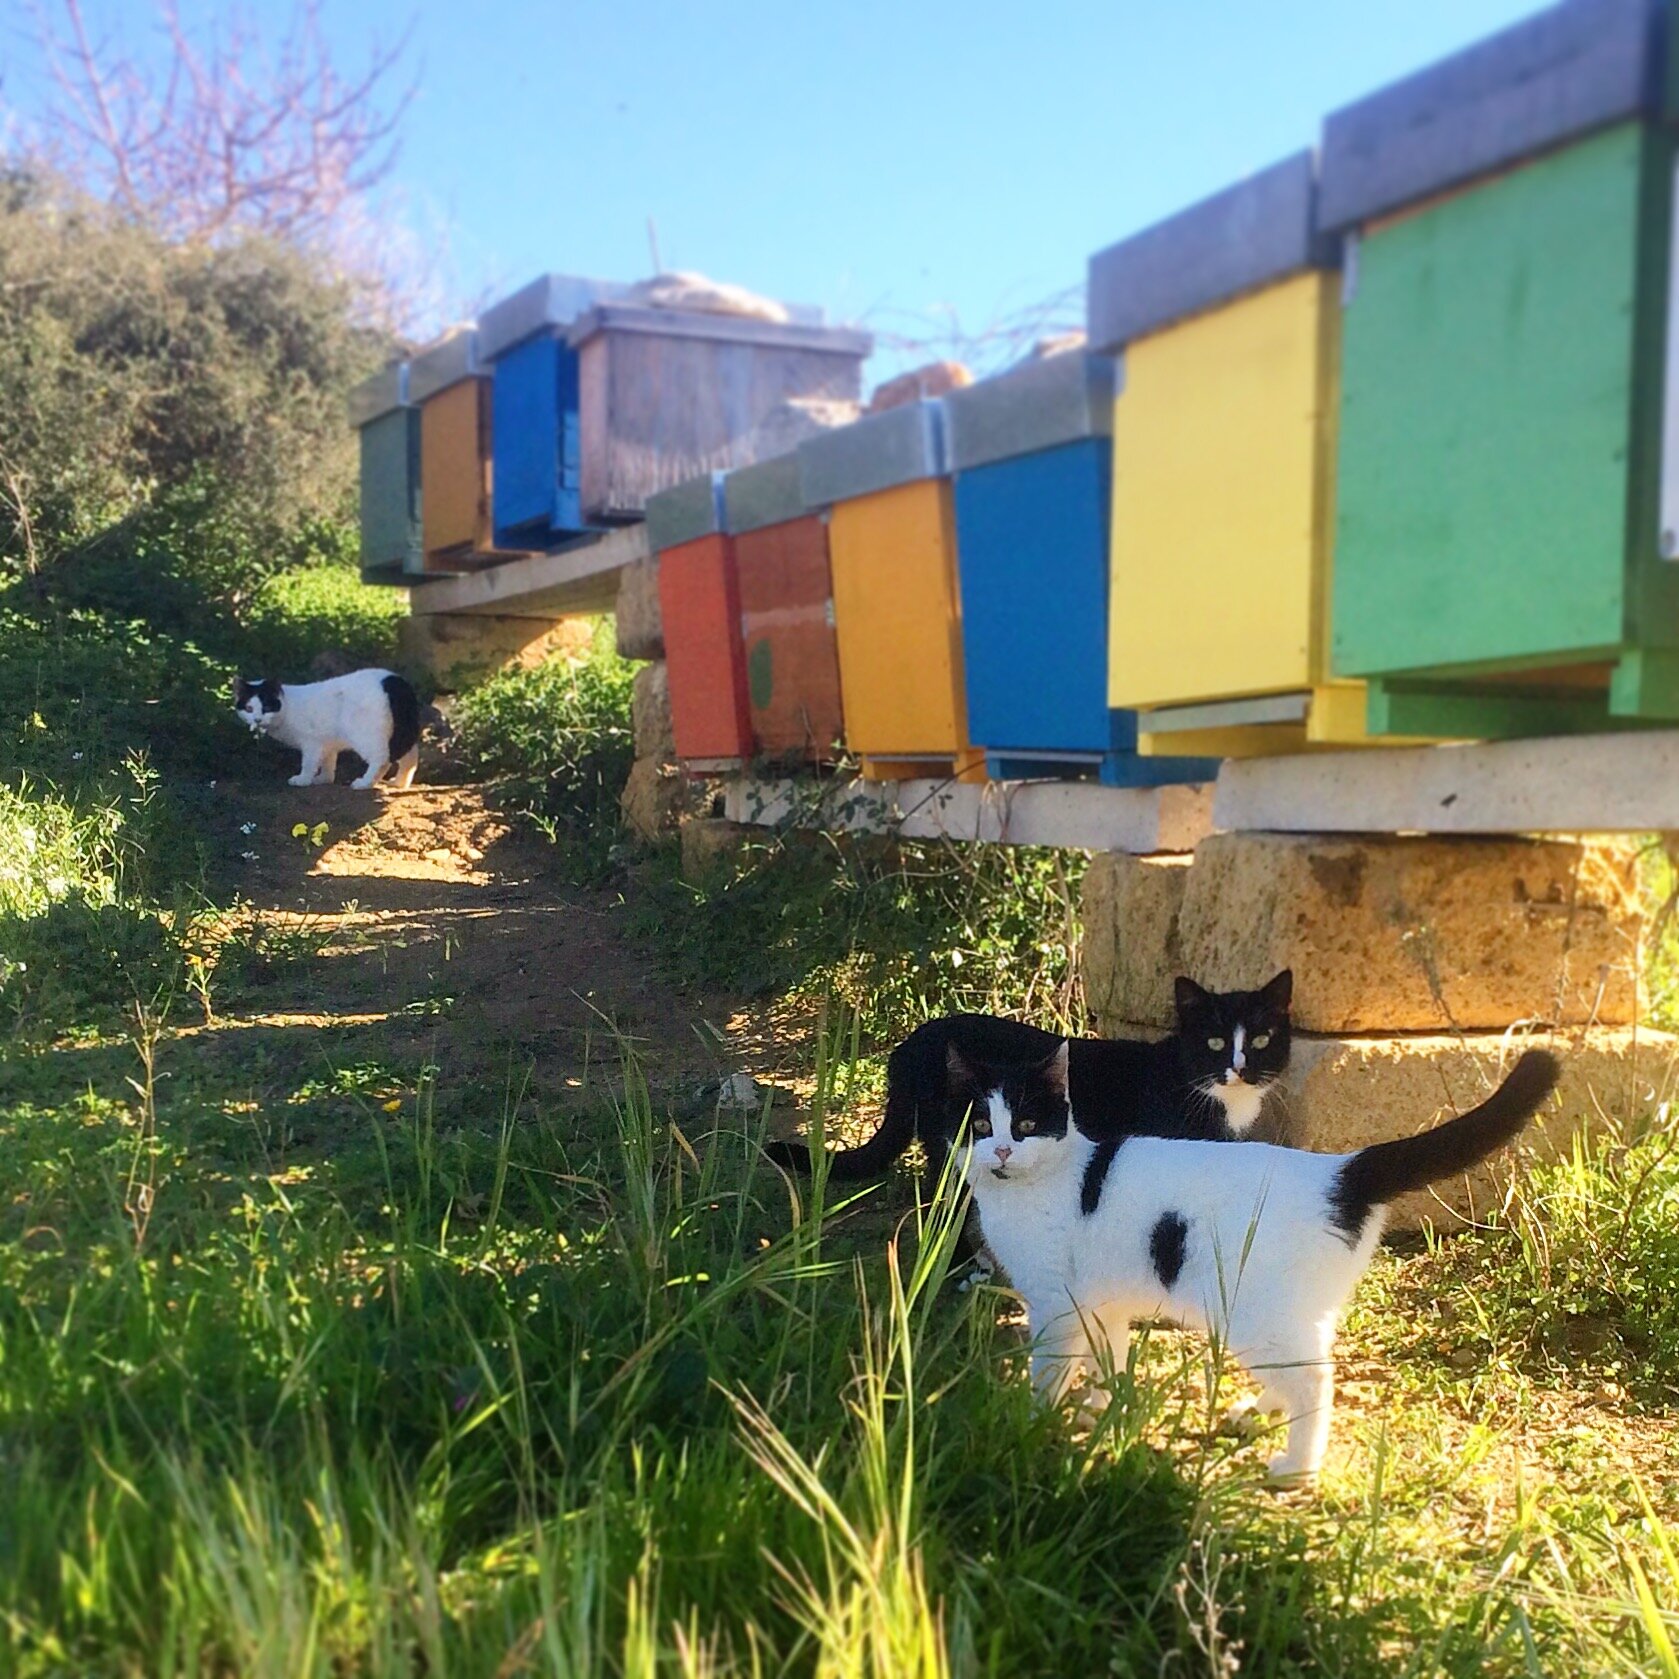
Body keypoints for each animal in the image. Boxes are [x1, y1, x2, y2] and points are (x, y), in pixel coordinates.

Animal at [235, 664, 419, 789]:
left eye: (266, 707)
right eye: (249, 709)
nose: (257, 719)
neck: (287, 708)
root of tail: (394, 681)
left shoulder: (312, 743)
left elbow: (308, 763)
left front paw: (303, 779)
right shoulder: (327, 743)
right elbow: (328, 762)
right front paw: (324, 779)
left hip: (367, 737)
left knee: (381, 759)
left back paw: (365, 782)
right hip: (401, 734)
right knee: (410, 758)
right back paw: (400, 782)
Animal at [960, 1040, 1558, 1490]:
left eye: (1026, 1124)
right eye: (980, 1127)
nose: (1001, 1152)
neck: (1044, 1180)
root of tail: (1341, 1170)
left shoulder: (1055, 1305)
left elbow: (1050, 1371)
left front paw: (1035, 1421)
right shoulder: (1100, 1305)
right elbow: (1110, 1359)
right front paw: (1102, 1407)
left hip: (1253, 1317)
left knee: (1315, 1381)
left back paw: (1298, 1468)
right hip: (1288, 1312)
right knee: (1306, 1364)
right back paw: (1261, 1412)